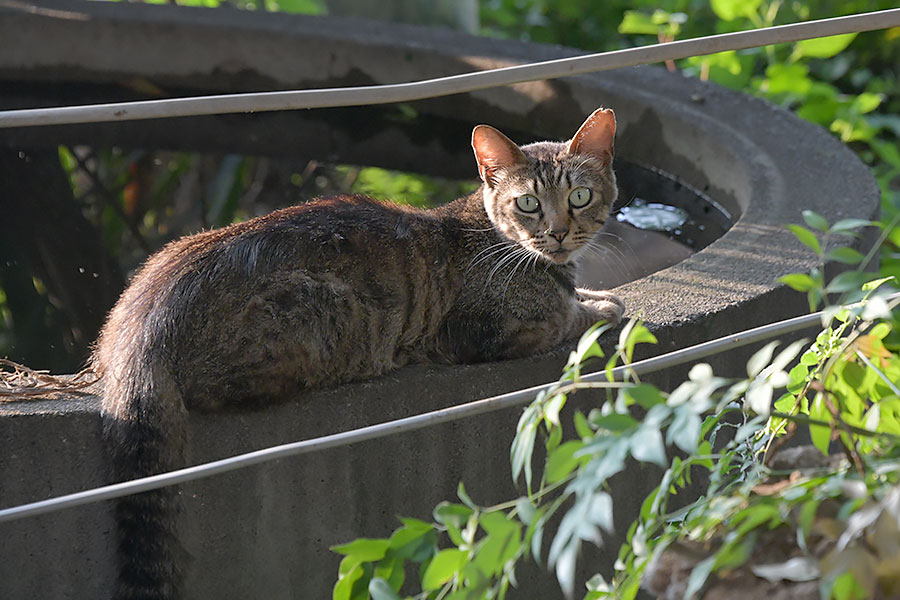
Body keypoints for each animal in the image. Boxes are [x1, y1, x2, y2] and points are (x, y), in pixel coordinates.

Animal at [93, 105, 624, 596]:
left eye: (579, 196)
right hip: (326, 311)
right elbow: (565, 316)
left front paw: (594, 294)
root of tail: (142, 317)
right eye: (528, 203)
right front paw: (601, 306)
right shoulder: (486, 331)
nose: (557, 232)